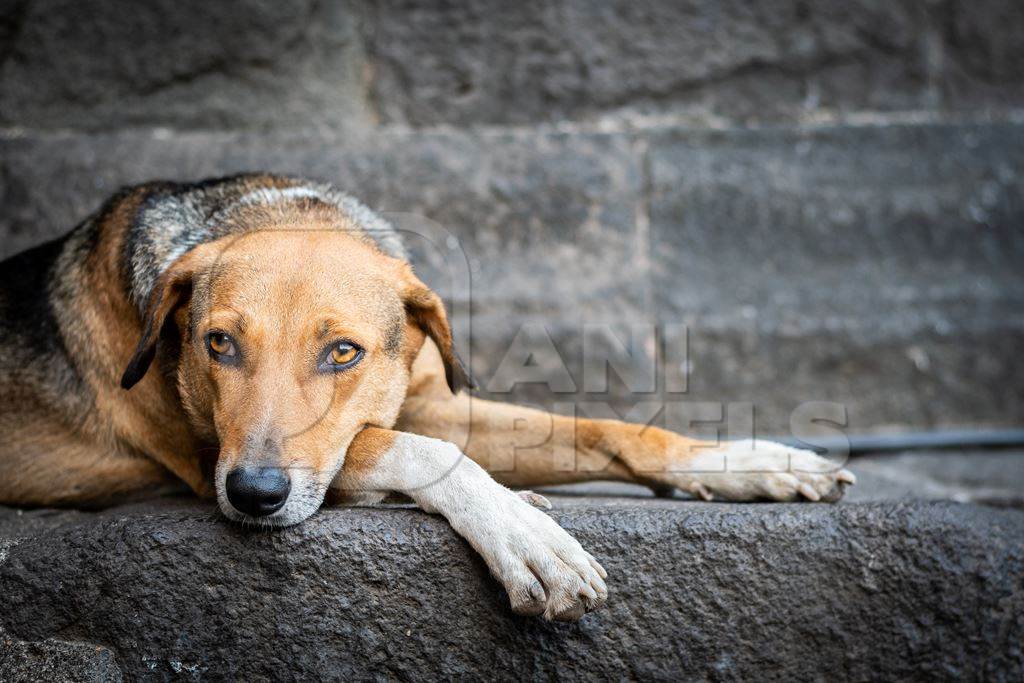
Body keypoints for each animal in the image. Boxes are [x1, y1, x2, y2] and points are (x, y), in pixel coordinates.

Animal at [0, 174, 856, 622]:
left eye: (343, 351)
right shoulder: (216, 451)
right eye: (217, 344)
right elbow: (413, 448)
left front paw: (744, 460)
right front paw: (521, 530)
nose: (252, 495)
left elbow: (605, 428)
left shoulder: (429, 402)